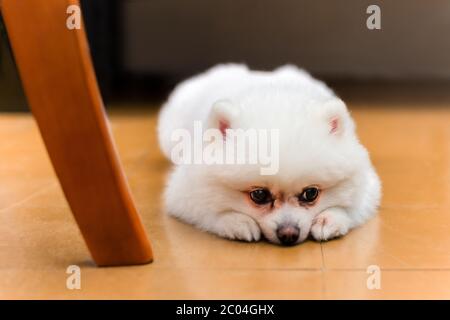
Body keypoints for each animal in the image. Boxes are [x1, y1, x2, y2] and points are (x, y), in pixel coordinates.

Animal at [156, 64, 382, 245]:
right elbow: (210, 211)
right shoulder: (183, 192)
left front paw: (330, 219)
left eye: (311, 193)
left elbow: (352, 206)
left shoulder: (368, 186)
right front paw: (238, 221)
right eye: (259, 195)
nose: (289, 234)